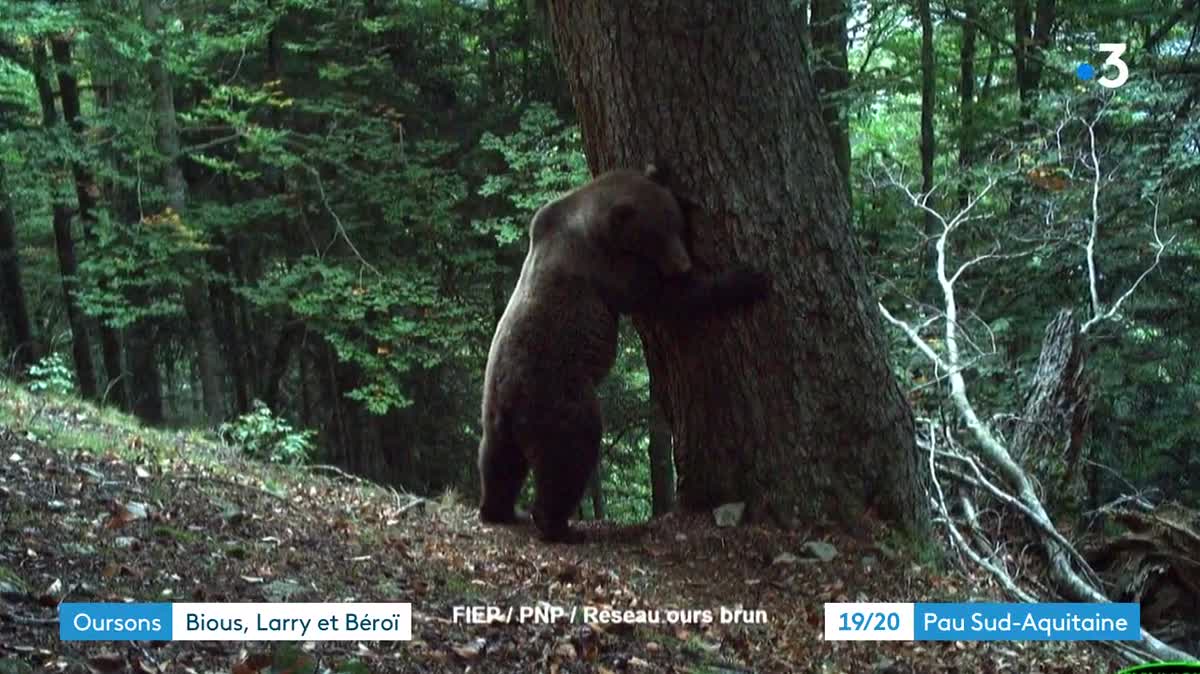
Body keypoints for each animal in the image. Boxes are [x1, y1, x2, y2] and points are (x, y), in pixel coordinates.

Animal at [472, 164, 763, 539]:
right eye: (657, 235)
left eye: (678, 224)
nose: (683, 265)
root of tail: (509, 394)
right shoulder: (605, 270)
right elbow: (668, 299)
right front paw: (747, 279)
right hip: (556, 394)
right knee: (569, 453)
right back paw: (560, 527)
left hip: (495, 413)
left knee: (497, 462)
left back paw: (501, 510)